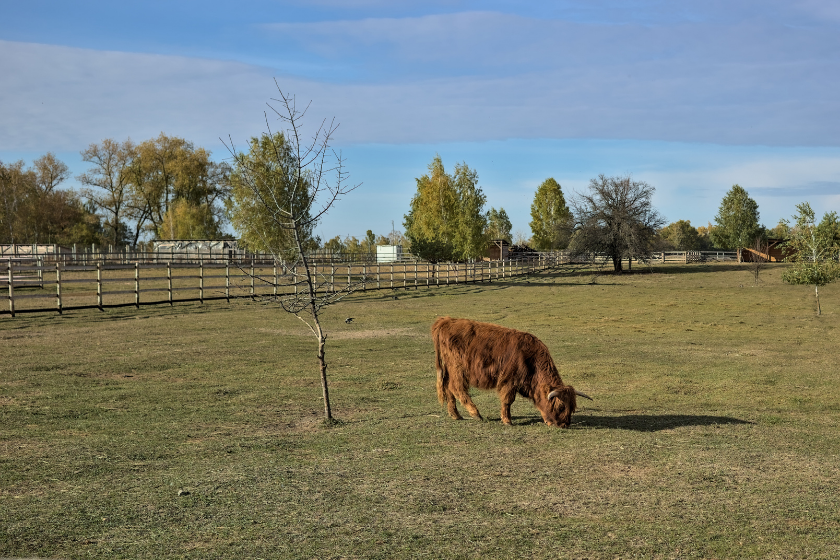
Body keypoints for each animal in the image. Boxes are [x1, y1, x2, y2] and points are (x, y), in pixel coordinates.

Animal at [434, 318, 592, 426]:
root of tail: (446, 321)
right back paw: (475, 414)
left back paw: (455, 415)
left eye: (572, 408)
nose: (564, 424)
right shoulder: (509, 381)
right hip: (457, 369)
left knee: (448, 389)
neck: (530, 359)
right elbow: (507, 400)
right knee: (456, 388)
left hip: (449, 370)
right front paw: (507, 421)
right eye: (560, 406)